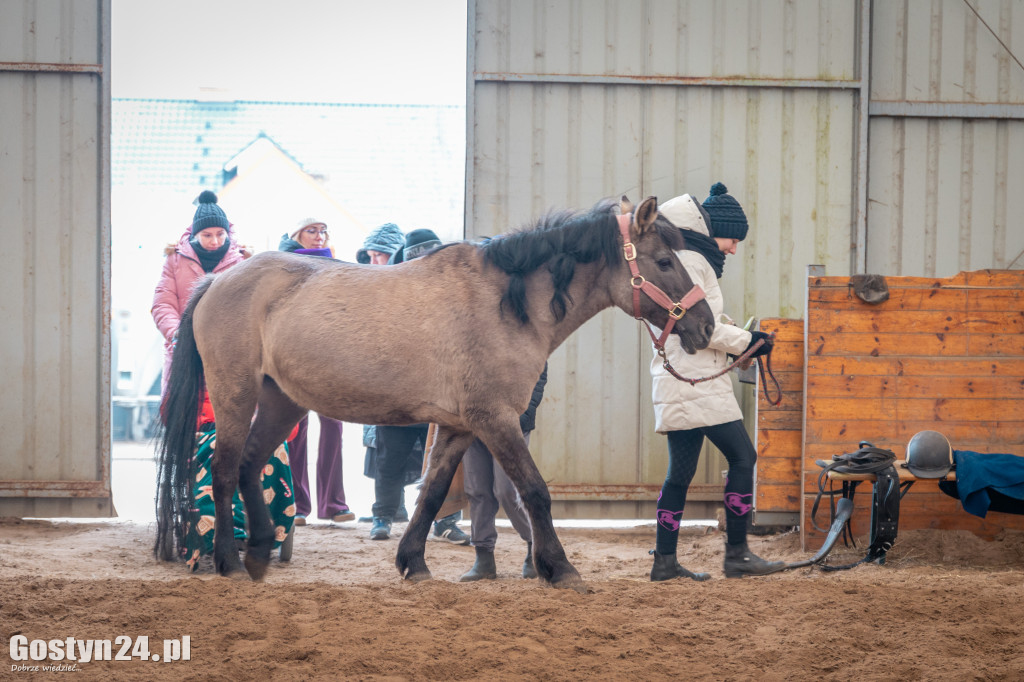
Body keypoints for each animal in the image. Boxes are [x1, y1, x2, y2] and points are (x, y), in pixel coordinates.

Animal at [157, 193, 712, 585]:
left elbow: (431, 494)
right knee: (224, 470)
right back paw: (229, 561)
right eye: (665, 262)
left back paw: (257, 553)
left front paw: (414, 563)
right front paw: (561, 569)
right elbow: (534, 490)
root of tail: (219, 280)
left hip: (281, 401)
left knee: (250, 466)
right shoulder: (496, 420)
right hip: (235, 393)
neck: (505, 304)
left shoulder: (459, 425)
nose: (704, 326)